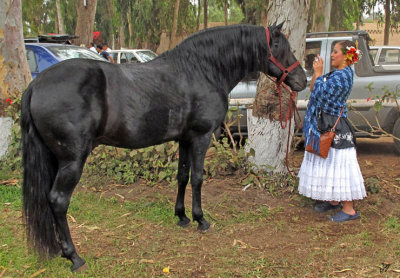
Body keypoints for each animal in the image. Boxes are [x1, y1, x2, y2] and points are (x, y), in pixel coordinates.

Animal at [20, 22, 306, 272]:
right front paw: (201, 219)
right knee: (58, 201)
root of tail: (36, 84)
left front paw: (182, 217)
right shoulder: (201, 137)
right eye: (281, 46)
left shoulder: (185, 139)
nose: (302, 81)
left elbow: (182, 176)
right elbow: (198, 178)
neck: (201, 70)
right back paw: (74, 257)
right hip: (72, 160)